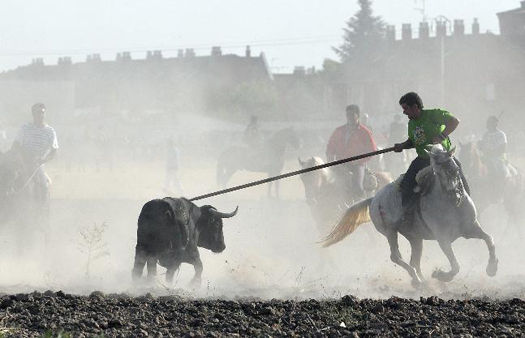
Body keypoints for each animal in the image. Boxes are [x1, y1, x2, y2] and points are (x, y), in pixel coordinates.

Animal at [322, 144, 498, 286]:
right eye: (437, 170)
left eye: (454, 168)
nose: (454, 194)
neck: (451, 206)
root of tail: (373, 199)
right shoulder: (443, 239)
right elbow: (455, 266)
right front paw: (441, 275)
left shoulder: (470, 229)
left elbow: (489, 239)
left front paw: (492, 268)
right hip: (390, 232)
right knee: (396, 257)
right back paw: (417, 280)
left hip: (415, 237)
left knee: (415, 260)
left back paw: (421, 281)